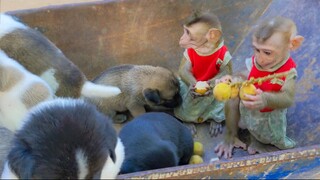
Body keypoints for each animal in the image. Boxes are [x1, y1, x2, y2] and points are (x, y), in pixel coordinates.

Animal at [214, 16, 304, 158]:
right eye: (257, 50)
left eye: (267, 52)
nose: (260, 59)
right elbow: (245, 75)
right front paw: (231, 79)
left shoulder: (290, 72)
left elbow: (287, 97)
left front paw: (262, 99)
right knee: (234, 99)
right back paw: (230, 138)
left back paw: (257, 144)